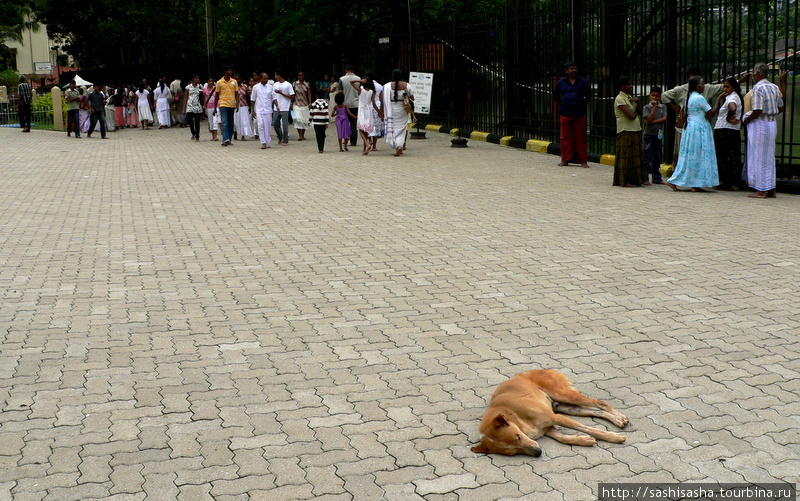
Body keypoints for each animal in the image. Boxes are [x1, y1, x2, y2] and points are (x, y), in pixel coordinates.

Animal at [472, 368, 628, 454]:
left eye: (518, 437)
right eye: (513, 451)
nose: (538, 452)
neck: (514, 415)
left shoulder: (555, 417)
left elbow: (589, 428)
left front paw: (613, 437)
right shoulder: (548, 428)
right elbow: (563, 438)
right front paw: (583, 440)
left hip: (564, 395)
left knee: (600, 403)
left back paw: (619, 417)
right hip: (566, 407)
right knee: (596, 411)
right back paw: (617, 419)